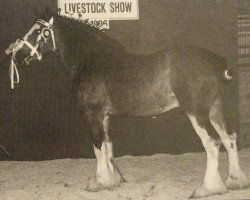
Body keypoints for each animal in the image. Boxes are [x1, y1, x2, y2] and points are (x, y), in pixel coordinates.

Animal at [5, 7, 248, 198]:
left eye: (37, 31)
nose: (15, 55)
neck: (92, 60)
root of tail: (215, 63)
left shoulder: (91, 114)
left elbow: (97, 147)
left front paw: (99, 182)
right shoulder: (103, 116)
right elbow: (108, 145)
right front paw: (113, 180)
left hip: (196, 113)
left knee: (213, 143)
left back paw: (207, 189)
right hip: (215, 110)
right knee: (230, 138)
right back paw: (235, 181)